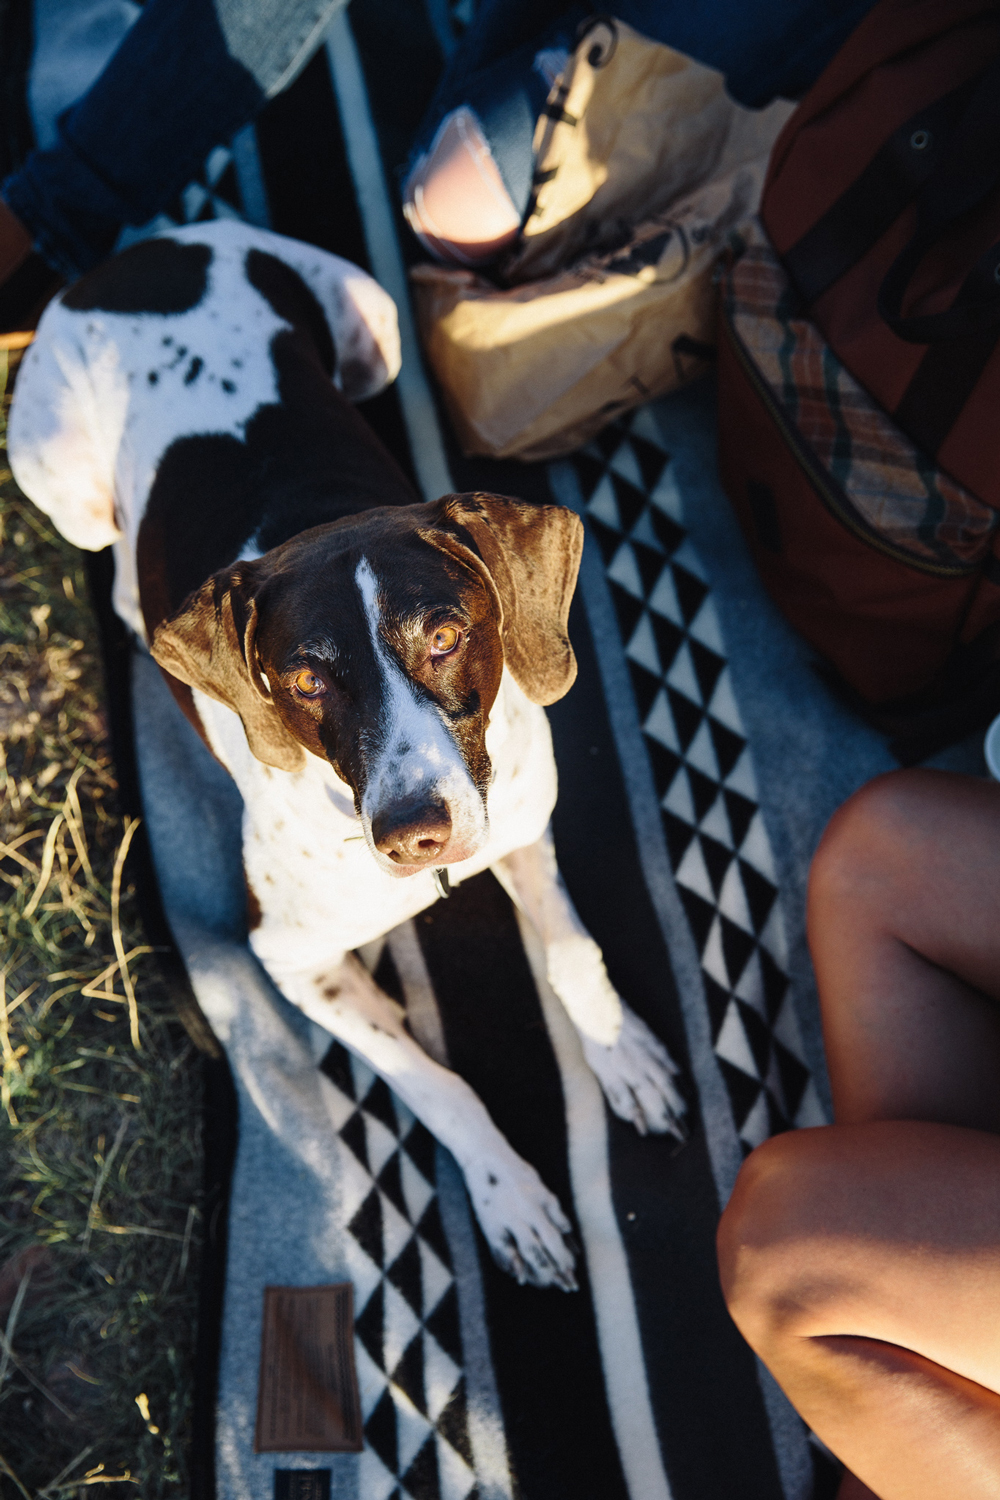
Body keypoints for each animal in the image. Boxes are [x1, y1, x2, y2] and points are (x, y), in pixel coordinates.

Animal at [11, 222, 689, 1290]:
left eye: (445, 637)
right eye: (304, 682)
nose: (417, 835)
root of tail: (143, 247)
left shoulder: (523, 827)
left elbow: (572, 952)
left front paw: (621, 1051)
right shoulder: (289, 963)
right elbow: (432, 1080)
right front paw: (510, 1197)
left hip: (376, 328)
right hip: (62, 478)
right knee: (113, 558)